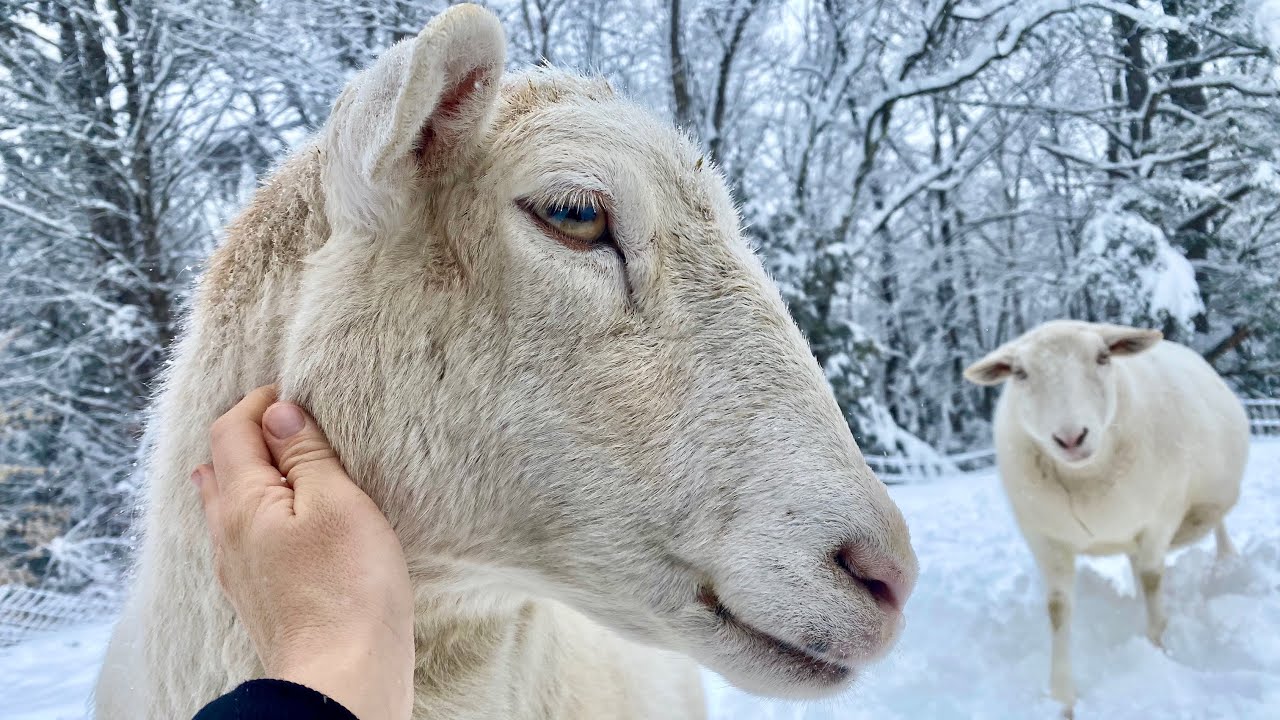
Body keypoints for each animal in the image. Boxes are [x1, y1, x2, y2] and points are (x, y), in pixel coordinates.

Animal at [964, 319, 1249, 716]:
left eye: (1103, 357)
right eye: (1019, 373)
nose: (1071, 438)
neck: (1086, 478)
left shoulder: (1160, 517)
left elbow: (1152, 580)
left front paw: (1158, 650)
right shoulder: (1044, 539)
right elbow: (1058, 609)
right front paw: (1062, 699)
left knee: (1219, 525)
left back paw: (1226, 561)